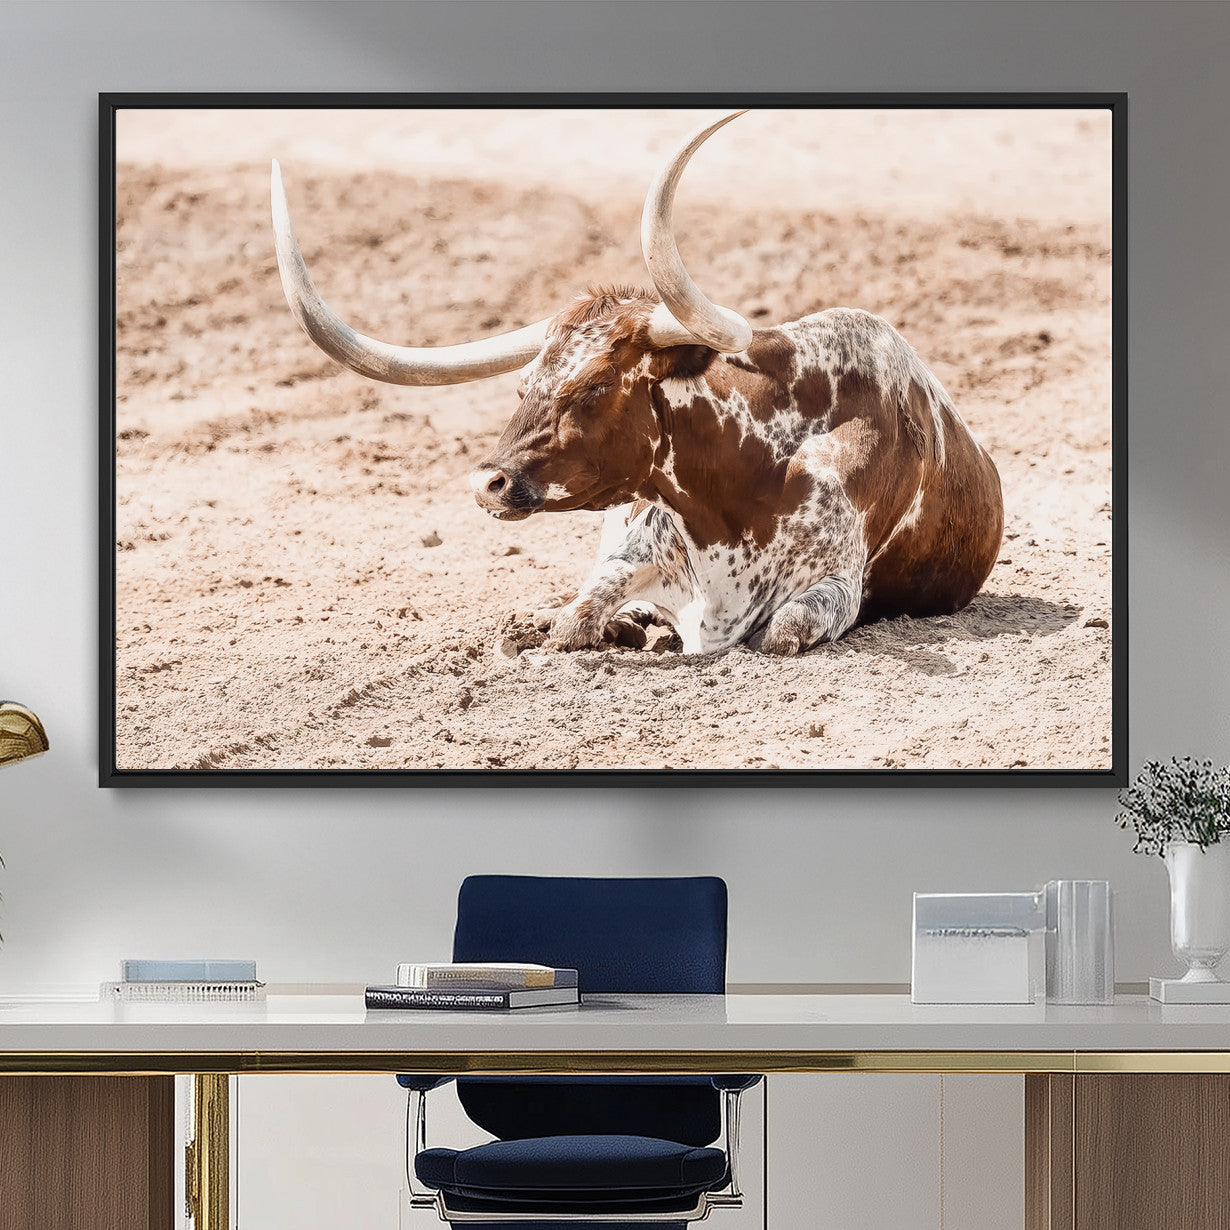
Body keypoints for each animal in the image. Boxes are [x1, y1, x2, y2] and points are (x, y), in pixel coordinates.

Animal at [271, 112, 1003, 656]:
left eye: (596, 386)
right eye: (524, 384)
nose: (489, 484)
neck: (742, 485)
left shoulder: (834, 587)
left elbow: (779, 631)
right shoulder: (628, 551)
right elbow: (574, 617)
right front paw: (590, 625)